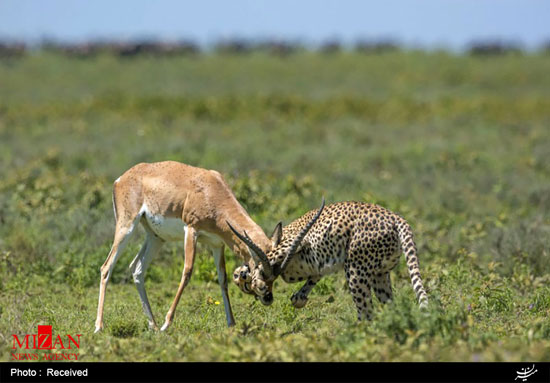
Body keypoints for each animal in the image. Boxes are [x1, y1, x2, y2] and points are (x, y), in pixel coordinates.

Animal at [226, 200, 430, 322]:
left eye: (241, 278)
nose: (238, 276)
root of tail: (396, 218)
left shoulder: (294, 242)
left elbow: (270, 259)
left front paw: (260, 281)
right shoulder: (318, 266)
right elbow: (309, 283)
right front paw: (297, 297)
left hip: (355, 272)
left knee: (366, 312)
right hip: (380, 276)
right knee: (390, 307)